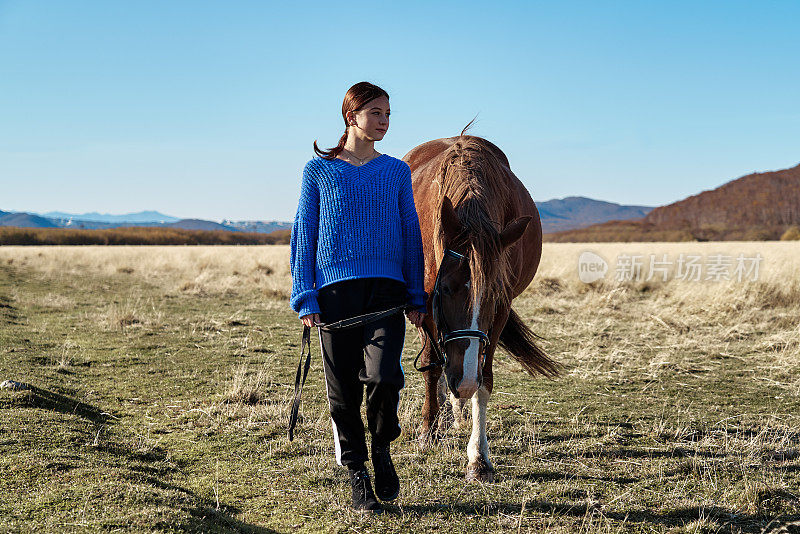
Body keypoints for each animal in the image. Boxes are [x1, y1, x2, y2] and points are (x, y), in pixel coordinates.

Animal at [404, 127, 560, 484]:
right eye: (445, 288)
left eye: (492, 296)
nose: (463, 382)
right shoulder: (426, 306)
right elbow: (432, 365)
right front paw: (428, 431)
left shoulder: (501, 311)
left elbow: (484, 380)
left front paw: (478, 458)